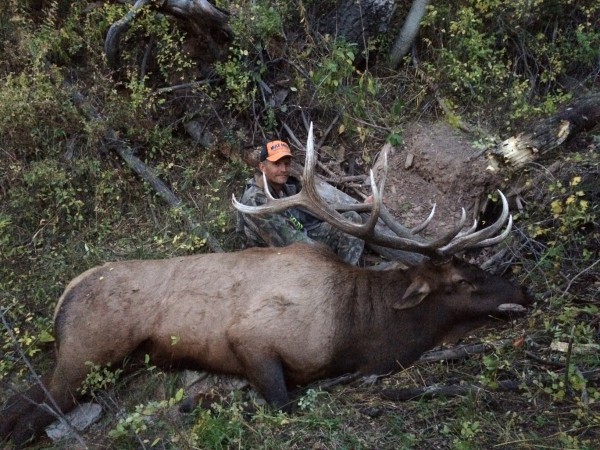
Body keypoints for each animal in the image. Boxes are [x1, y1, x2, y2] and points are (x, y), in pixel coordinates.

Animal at [1, 125, 528, 448]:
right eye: (464, 279)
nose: (526, 293)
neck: (356, 332)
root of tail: (65, 295)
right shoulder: (252, 339)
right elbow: (283, 403)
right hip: (88, 353)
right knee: (26, 413)